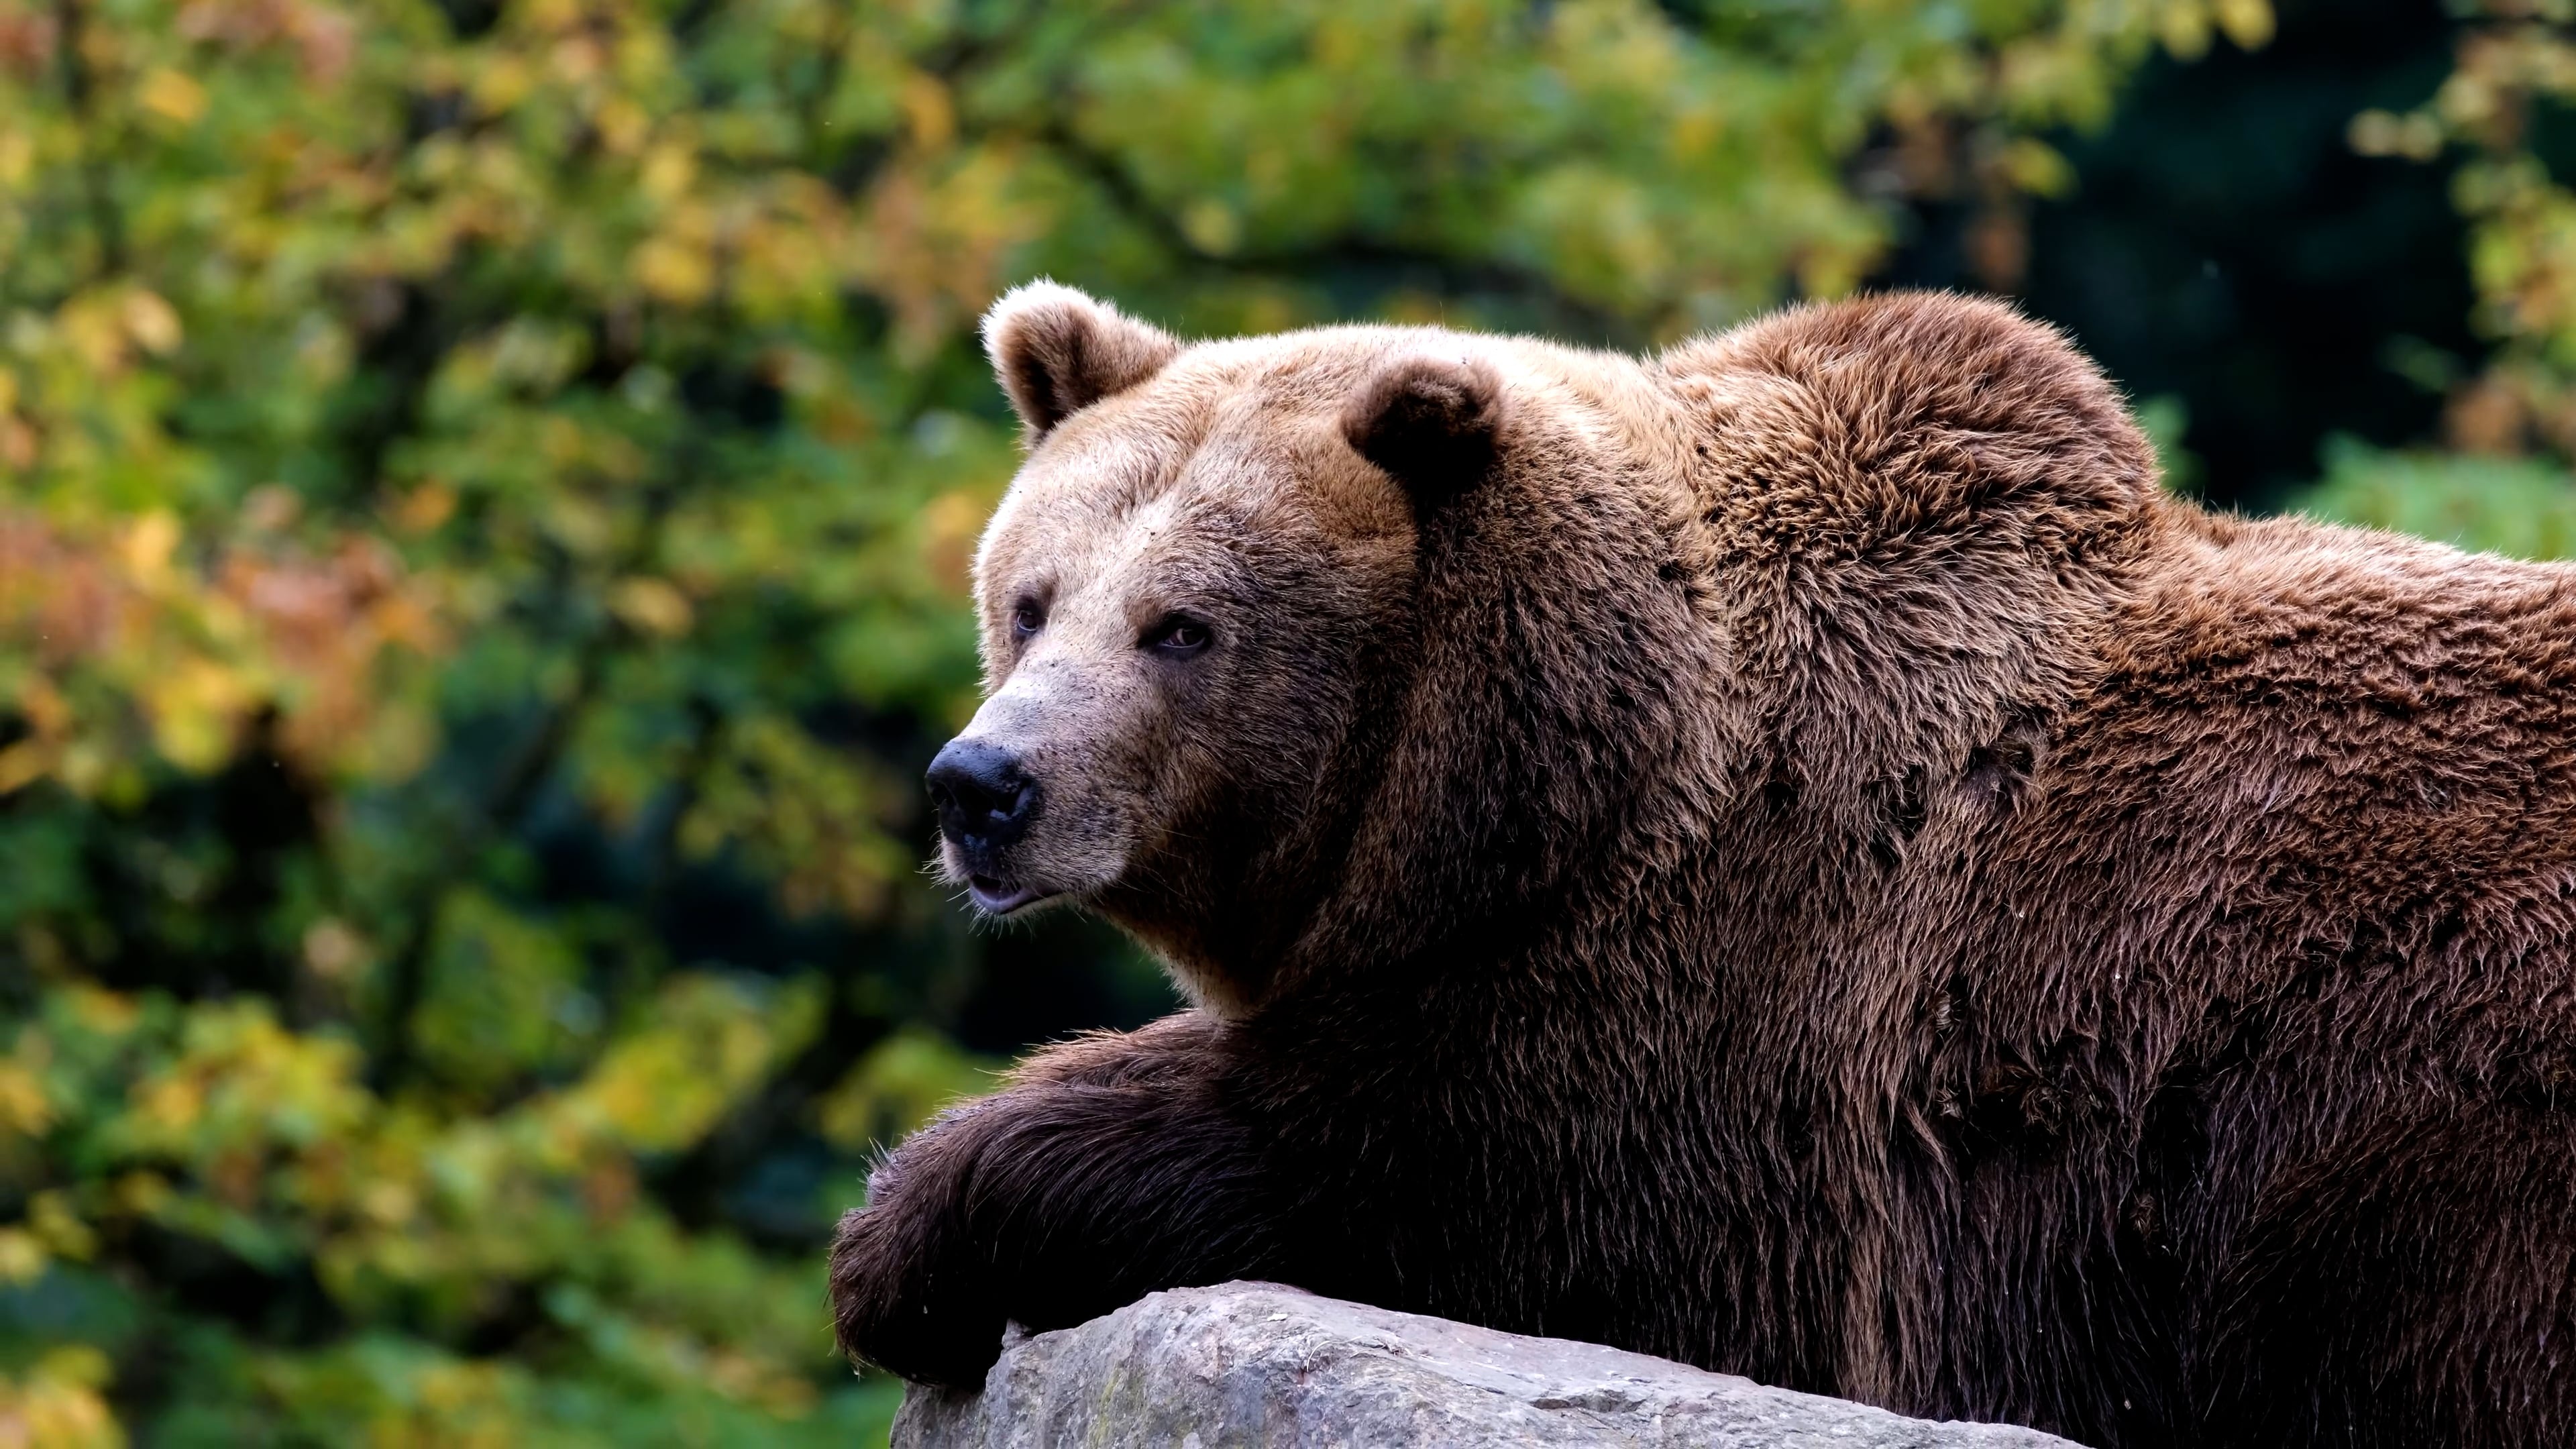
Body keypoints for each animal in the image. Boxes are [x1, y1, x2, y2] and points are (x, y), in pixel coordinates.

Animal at [824, 284, 2576, 1444]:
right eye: (1033, 597)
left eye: (1181, 625)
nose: (985, 783)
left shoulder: (1718, 1025)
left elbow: (1363, 1152)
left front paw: (907, 1232)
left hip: (2418, 1131)